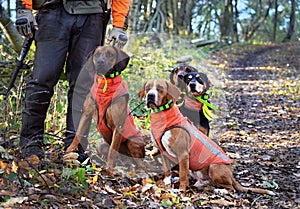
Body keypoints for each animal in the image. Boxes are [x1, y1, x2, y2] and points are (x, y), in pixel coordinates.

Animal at [138, 79, 274, 195]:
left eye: (160, 88)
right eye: (147, 88)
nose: (150, 95)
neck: (163, 115)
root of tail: (232, 175)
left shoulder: (183, 154)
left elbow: (182, 174)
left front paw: (181, 190)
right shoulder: (162, 151)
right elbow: (167, 170)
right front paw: (166, 183)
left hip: (215, 167)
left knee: (231, 189)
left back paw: (220, 191)